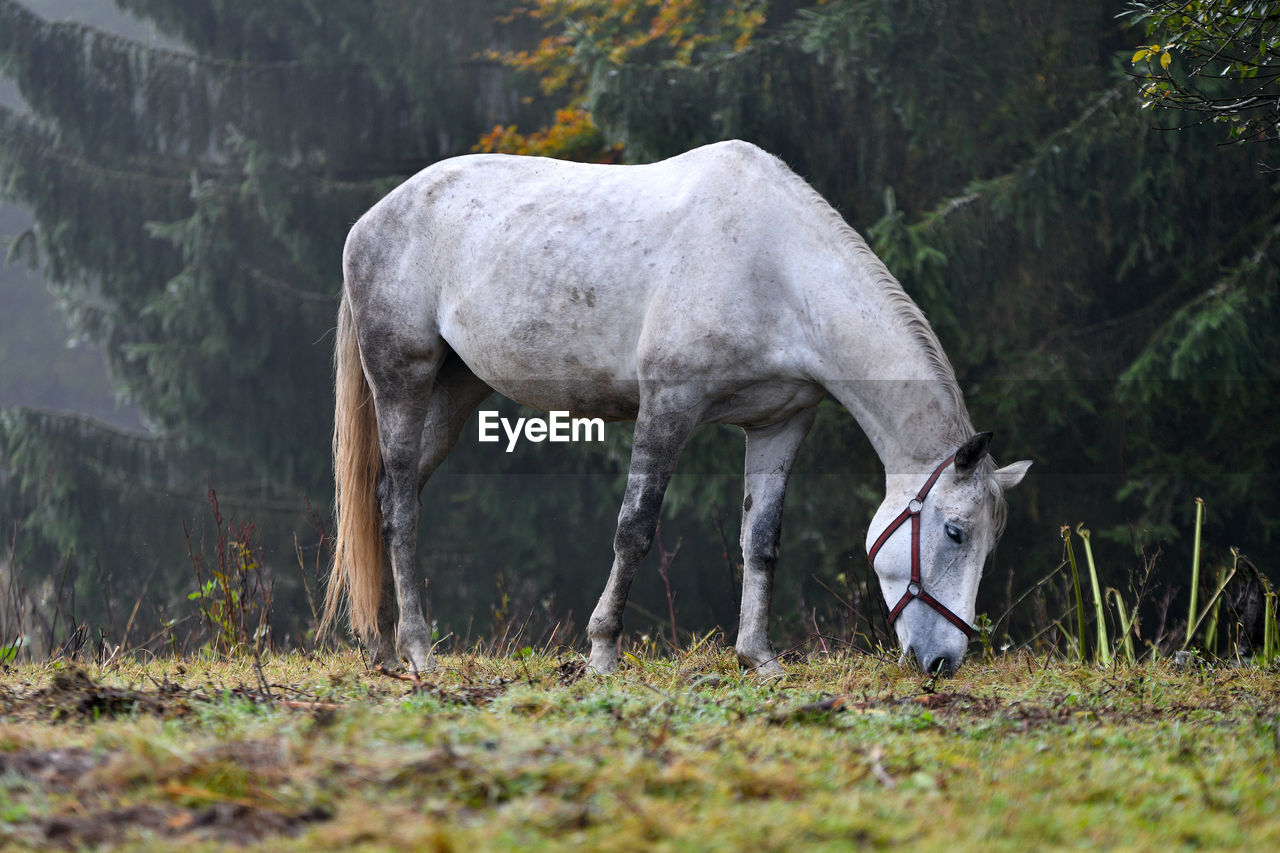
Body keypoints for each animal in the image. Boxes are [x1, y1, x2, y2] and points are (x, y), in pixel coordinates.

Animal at [320, 137, 1029, 671]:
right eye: (955, 532)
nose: (942, 662)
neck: (775, 265)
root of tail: (372, 219)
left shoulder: (779, 424)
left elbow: (760, 541)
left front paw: (758, 659)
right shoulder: (670, 404)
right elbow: (635, 528)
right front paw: (602, 652)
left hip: (455, 391)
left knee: (385, 500)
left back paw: (383, 648)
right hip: (404, 381)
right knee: (401, 506)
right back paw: (417, 651)